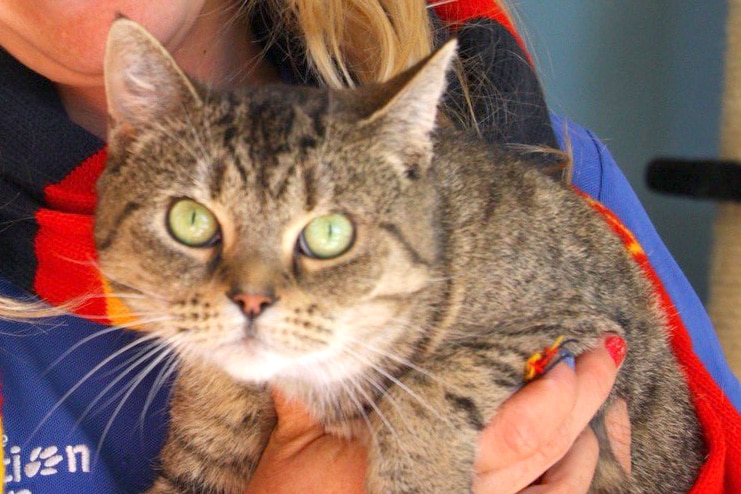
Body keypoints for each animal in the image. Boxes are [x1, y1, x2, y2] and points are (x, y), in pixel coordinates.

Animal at [95, 19, 704, 494]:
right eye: (191, 221)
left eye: (330, 233)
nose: (250, 300)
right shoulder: (202, 446)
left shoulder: (580, 333)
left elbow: (432, 389)